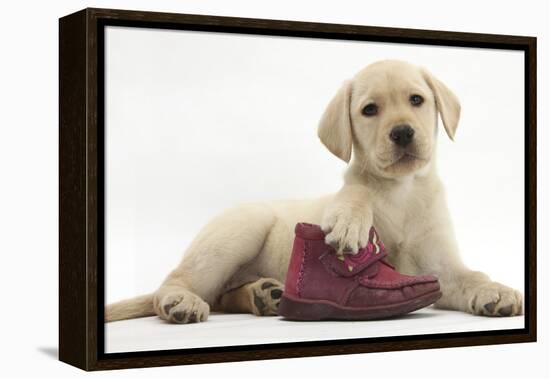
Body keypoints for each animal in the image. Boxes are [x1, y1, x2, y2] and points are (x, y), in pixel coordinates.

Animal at [106, 60, 528, 326]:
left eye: (416, 100)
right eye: (370, 110)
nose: (403, 133)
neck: (402, 191)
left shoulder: (439, 269)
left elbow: (470, 274)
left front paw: (493, 290)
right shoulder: (357, 192)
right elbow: (356, 192)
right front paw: (350, 223)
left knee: (223, 297)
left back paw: (264, 295)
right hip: (238, 231)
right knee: (180, 282)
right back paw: (182, 301)